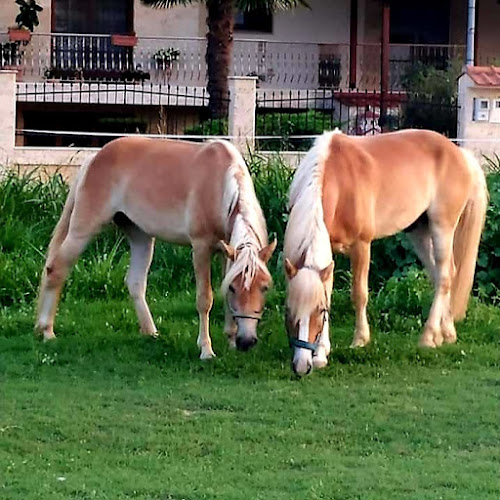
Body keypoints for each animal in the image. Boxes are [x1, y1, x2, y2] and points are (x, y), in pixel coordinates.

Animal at [36, 136, 276, 360]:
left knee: (135, 283)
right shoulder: (201, 248)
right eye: (235, 289)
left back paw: (151, 332)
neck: (220, 183)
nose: (246, 342)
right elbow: (204, 299)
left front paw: (231, 339)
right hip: (84, 228)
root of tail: (94, 157)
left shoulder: (227, 252)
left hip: (140, 236)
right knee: (56, 268)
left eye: (265, 287)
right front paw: (206, 350)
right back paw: (47, 331)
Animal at [286, 129, 488, 376]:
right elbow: (327, 291)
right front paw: (322, 354)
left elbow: (359, 294)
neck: (339, 179)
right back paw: (446, 334)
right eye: (289, 311)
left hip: (442, 227)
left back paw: (428, 337)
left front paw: (360, 340)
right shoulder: (328, 253)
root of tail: (460, 154)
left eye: (319, 312)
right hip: (418, 232)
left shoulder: (362, 246)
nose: (301, 366)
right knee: (441, 274)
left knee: (444, 276)